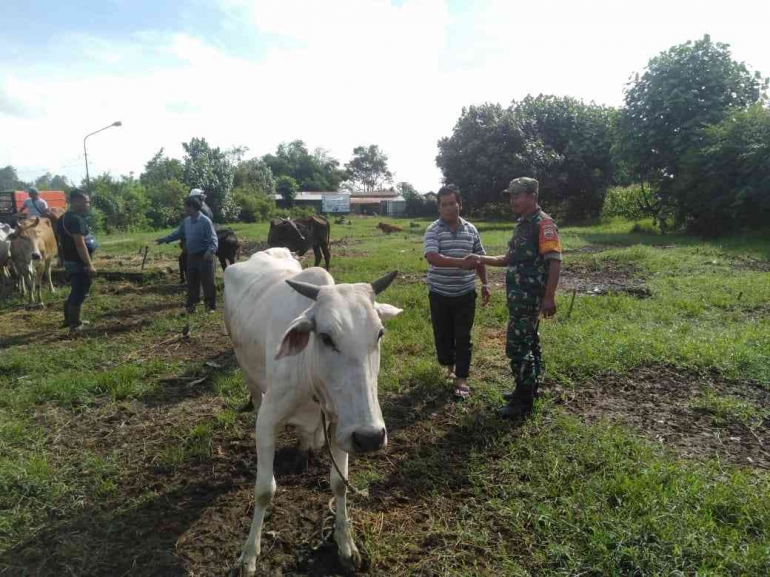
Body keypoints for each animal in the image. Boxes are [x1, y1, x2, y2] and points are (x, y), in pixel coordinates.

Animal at [222, 249, 400, 576]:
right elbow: (264, 490)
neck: (310, 374)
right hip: (246, 370)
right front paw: (248, 555)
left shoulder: (341, 425)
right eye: (326, 337)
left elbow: (339, 483)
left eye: (380, 333)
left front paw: (345, 544)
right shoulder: (268, 421)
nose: (370, 437)